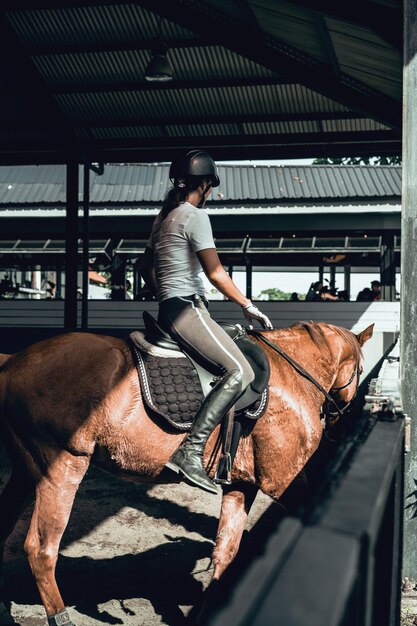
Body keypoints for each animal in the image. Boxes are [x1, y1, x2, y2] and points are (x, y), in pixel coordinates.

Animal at [0, 320, 370, 620]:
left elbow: (225, 552)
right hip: (63, 465)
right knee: (41, 550)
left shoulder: (241, 485)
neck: (292, 375)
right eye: (362, 369)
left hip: (26, 470)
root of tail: (14, 360)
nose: (342, 415)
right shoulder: (285, 481)